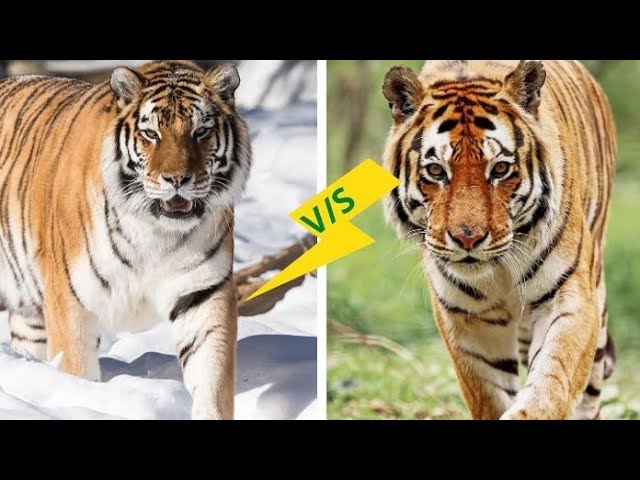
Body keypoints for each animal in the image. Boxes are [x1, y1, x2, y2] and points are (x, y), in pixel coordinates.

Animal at [0, 60, 252, 418]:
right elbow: (77, 371)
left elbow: (212, 380)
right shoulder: (69, 303)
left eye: (200, 132)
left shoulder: (203, 293)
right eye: (151, 134)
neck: (156, 234)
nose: (177, 179)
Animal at [382, 61, 616, 420]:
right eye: (436, 172)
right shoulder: (469, 321)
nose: (467, 239)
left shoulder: (569, 296)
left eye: (501, 169)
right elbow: (490, 394)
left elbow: (551, 379)